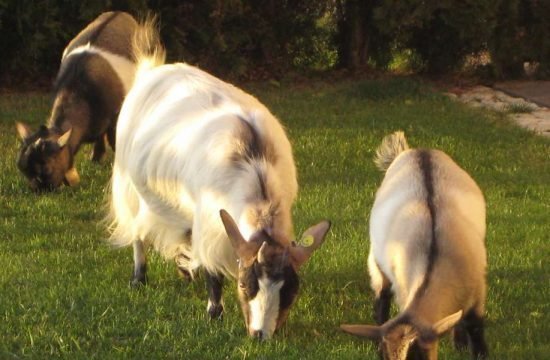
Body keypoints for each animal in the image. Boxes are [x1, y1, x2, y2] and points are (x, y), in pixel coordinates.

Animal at [17, 11, 139, 191]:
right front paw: (96, 159)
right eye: (22, 168)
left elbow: (115, 139)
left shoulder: (115, 115)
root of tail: (120, 13)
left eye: (45, 170)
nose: (38, 191)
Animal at [108, 19, 332, 340]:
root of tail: (151, 71)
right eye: (244, 285)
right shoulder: (209, 221)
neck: (254, 162)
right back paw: (140, 277)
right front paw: (214, 313)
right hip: (128, 184)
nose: (260, 335)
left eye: (291, 292)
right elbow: (212, 269)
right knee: (137, 229)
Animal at [342, 132, 490, 360]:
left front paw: (464, 345)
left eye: (418, 354)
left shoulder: (477, 292)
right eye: (383, 357)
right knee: (382, 295)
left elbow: (475, 330)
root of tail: (417, 151)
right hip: (377, 263)